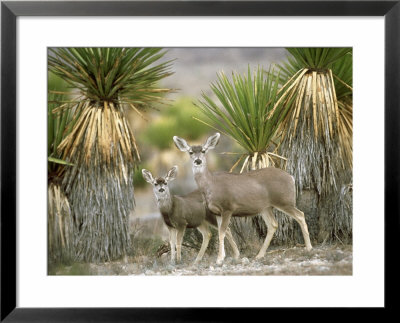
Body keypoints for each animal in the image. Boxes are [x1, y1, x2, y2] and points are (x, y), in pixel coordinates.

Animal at [173, 133, 312, 264]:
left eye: (203, 151)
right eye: (190, 152)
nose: (198, 161)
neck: (211, 185)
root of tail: (291, 177)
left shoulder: (228, 207)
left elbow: (222, 232)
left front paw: (220, 259)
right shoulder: (216, 212)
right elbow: (223, 231)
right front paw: (228, 256)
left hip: (284, 200)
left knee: (300, 215)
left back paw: (309, 248)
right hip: (265, 207)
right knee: (273, 225)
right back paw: (259, 255)